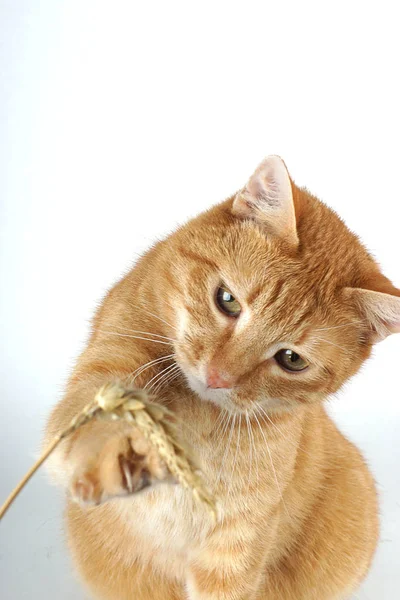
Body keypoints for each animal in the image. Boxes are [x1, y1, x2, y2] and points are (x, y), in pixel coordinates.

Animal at [45, 157, 398, 596]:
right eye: (227, 300)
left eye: (291, 359)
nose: (217, 376)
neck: (200, 415)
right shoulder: (105, 373)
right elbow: (95, 417)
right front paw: (122, 452)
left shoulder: (235, 548)